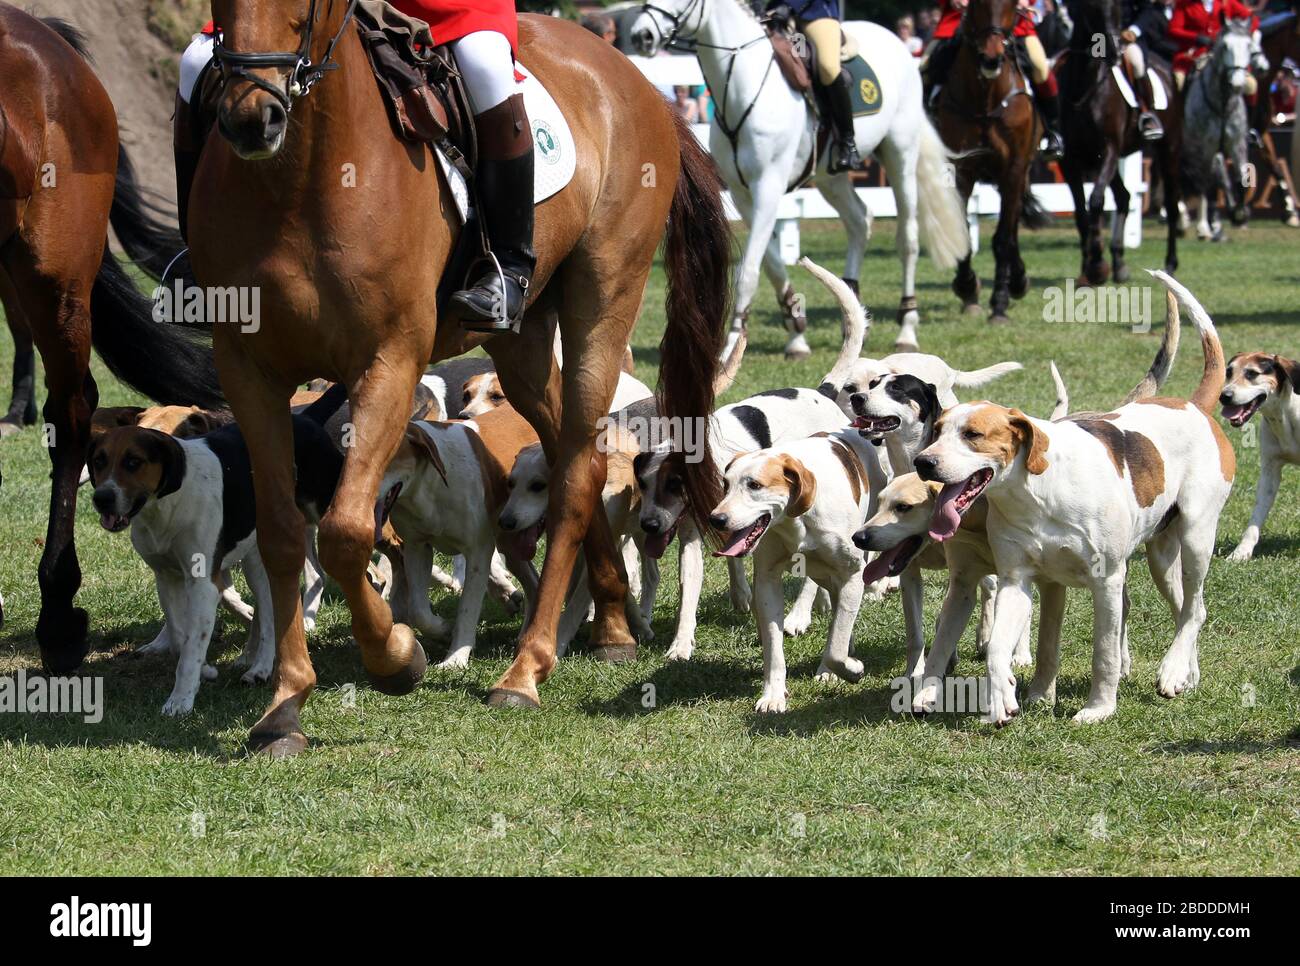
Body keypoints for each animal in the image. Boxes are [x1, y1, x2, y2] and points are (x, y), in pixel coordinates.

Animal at [189, 0, 733, 754]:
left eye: (306, 7)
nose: (251, 119)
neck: (300, 178)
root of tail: (637, 81)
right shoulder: (250, 372)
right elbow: (282, 534)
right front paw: (286, 705)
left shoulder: (389, 359)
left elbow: (347, 533)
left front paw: (395, 657)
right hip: (524, 343)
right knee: (573, 452)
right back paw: (612, 622)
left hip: (603, 305)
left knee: (576, 478)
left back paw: (526, 670)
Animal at [624, 0, 972, 356]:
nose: (641, 36)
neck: (743, 85)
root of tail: (894, 41)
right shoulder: (741, 194)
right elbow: (771, 262)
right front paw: (795, 331)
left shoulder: (768, 186)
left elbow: (749, 269)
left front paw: (731, 344)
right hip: (830, 178)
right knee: (859, 220)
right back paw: (851, 310)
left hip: (900, 155)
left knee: (908, 240)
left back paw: (907, 328)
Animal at [935, 0, 1045, 325]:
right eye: (977, 4)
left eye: (1011, 4)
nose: (991, 58)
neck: (986, 96)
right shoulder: (962, 170)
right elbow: (963, 231)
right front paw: (967, 288)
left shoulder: (1014, 170)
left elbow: (1003, 239)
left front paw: (999, 303)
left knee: (1012, 227)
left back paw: (1018, 281)